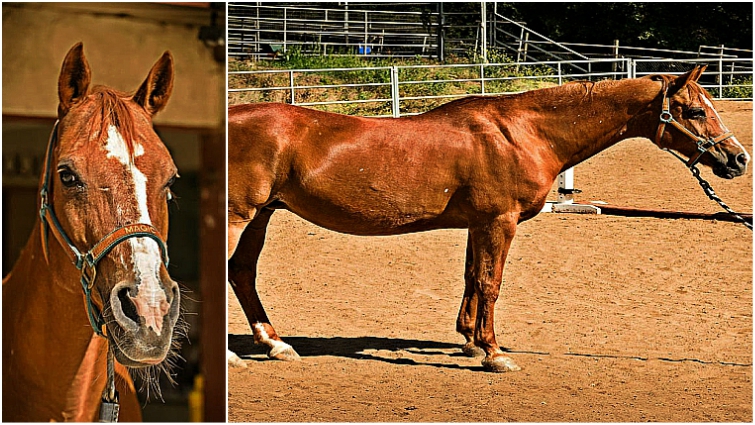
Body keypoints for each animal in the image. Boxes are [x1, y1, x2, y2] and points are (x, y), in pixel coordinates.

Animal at [227, 66, 749, 373]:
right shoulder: (500, 221)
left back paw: (275, 344)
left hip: (260, 217)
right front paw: (495, 354)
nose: (738, 159)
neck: (521, 133)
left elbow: (471, 279)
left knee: (242, 273)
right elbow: (491, 283)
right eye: (693, 110)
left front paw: (470, 342)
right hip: (239, 216)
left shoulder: (479, 224)